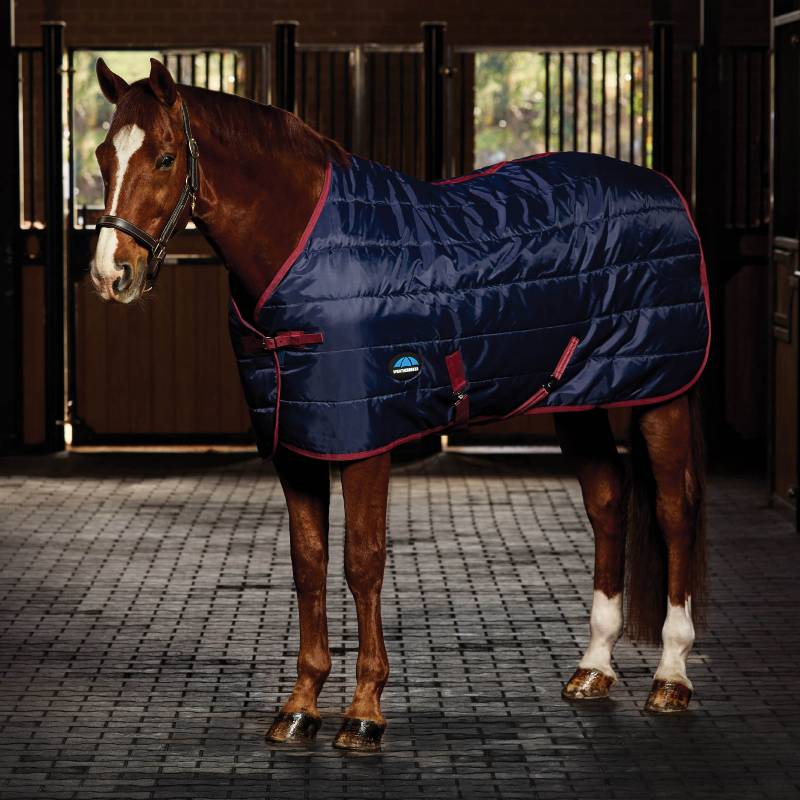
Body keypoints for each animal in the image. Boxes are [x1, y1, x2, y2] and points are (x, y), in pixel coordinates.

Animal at [90, 58, 708, 752]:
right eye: (103, 156)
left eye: (166, 158)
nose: (111, 274)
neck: (304, 251)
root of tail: (664, 188)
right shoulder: (297, 442)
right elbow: (308, 564)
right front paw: (300, 705)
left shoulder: (367, 440)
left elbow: (362, 563)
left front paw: (363, 712)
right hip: (580, 396)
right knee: (607, 501)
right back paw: (593, 668)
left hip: (663, 392)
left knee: (674, 512)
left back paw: (671, 676)